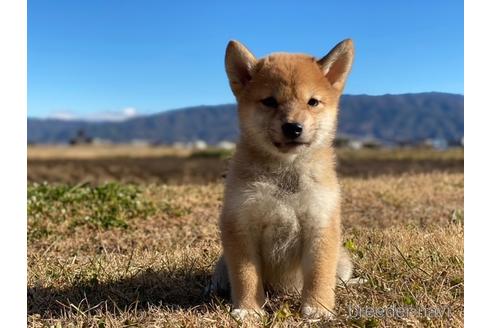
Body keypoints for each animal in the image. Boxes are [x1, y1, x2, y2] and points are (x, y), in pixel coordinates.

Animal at [209, 38, 356, 320]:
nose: (293, 127)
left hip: (342, 259)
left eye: (312, 102)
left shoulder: (320, 223)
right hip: (222, 263)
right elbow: (245, 275)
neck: (285, 174)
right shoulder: (241, 224)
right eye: (269, 101)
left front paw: (318, 308)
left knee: (339, 275)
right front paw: (248, 309)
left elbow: (320, 274)